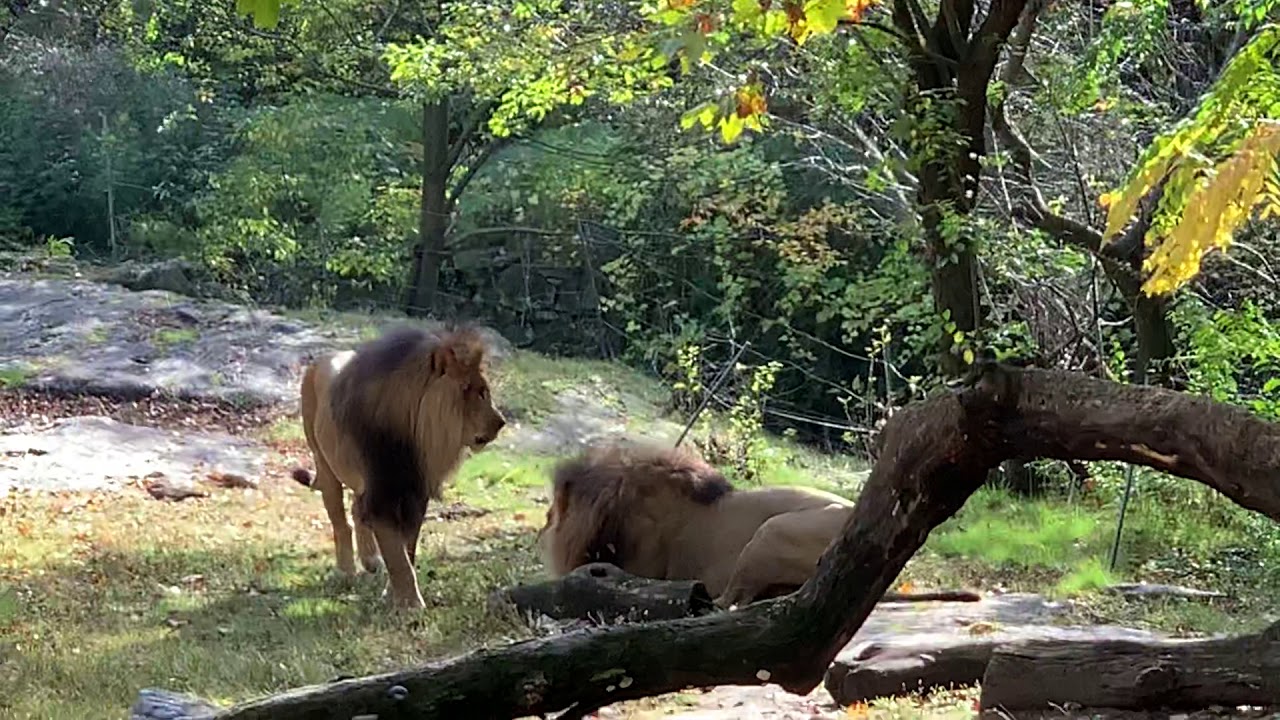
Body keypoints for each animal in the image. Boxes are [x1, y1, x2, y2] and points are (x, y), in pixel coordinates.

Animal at [290, 324, 507, 609]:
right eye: (479, 392)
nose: (502, 423)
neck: (416, 436)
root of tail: (320, 359)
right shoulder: (383, 494)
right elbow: (398, 556)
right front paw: (412, 604)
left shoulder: (414, 495)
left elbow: (407, 550)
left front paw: (393, 594)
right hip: (324, 463)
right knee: (340, 521)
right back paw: (347, 571)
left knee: (357, 508)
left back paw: (371, 560)